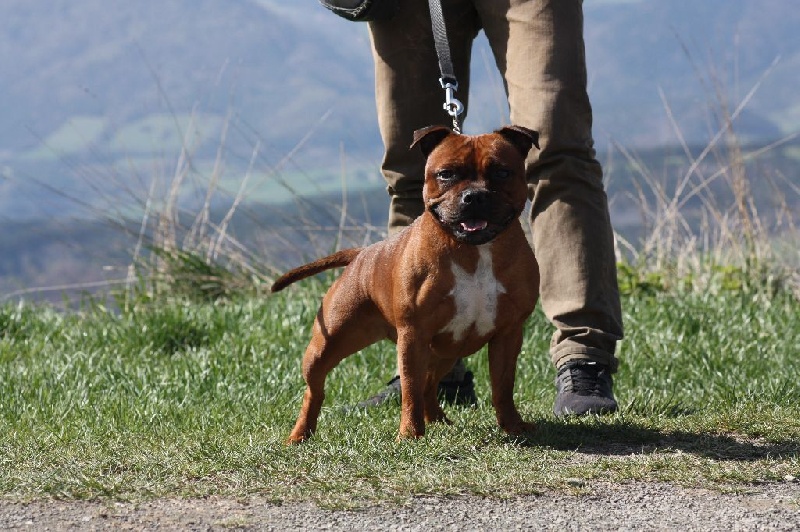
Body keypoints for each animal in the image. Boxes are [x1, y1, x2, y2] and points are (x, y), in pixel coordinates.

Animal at [272, 125, 540, 444]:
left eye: (501, 172)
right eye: (446, 174)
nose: (474, 196)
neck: (474, 251)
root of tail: (361, 254)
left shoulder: (508, 334)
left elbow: (503, 386)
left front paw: (512, 426)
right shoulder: (413, 335)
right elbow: (410, 389)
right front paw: (410, 434)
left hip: (446, 351)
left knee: (430, 384)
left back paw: (438, 420)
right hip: (326, 345)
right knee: (315, 391)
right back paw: (300, 434)